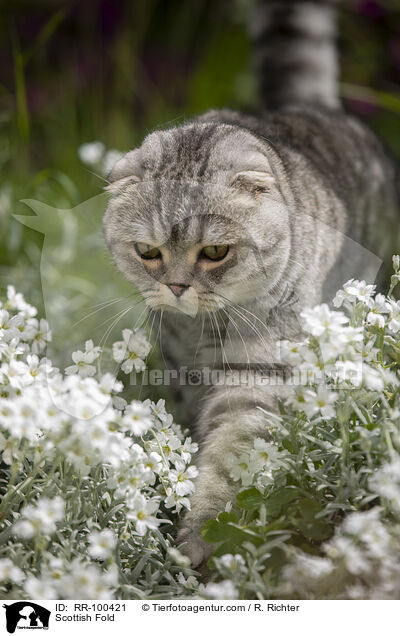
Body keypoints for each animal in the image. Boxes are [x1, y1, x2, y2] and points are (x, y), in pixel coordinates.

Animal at [104, 0, 400, 568]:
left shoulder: (259, 373)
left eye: (215, 252)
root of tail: (312, 105)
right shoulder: (182, 369)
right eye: (148, 252)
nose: (177, 288)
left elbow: (230, 460)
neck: (205, 331)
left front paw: (199, 539)